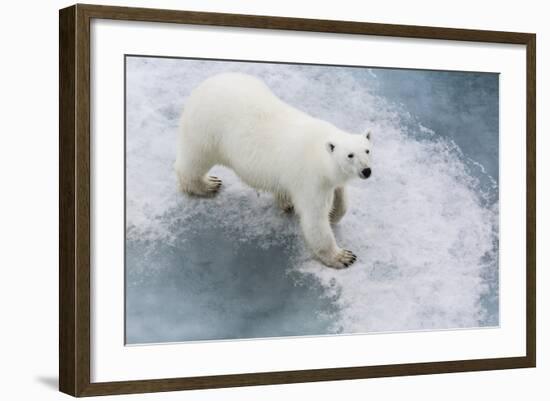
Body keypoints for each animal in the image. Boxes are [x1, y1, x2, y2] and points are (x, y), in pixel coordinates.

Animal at [176, 74, 376, 268]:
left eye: (367, 150)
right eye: (350, 155)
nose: (366, 171)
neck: (320, 151)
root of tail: (202, 86)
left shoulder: (328, 178)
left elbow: (340, 196)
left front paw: (334, 214)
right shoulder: (311, 178)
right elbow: (315, 219)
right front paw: (343, 257)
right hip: (208, 131)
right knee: (196, 159)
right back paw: (207, 184)